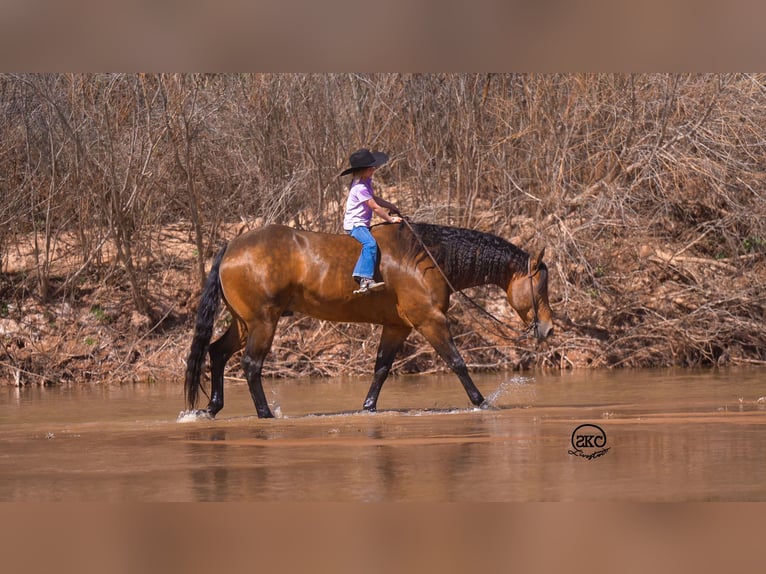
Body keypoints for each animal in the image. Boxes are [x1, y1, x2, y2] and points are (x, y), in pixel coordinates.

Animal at [186, 223, 560, 420]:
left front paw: (368, 408)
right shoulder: (430, 321)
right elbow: (456, 362)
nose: (548, 328)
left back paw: (212, 407)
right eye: (540, 286)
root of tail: (232, 247)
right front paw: (482, 402)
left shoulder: (397, 327)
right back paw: (265, 414)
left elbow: (381, 368)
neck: (426, 259)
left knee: (217, 353)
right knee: (251, 365)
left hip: (244, 322)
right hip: (264, 322)